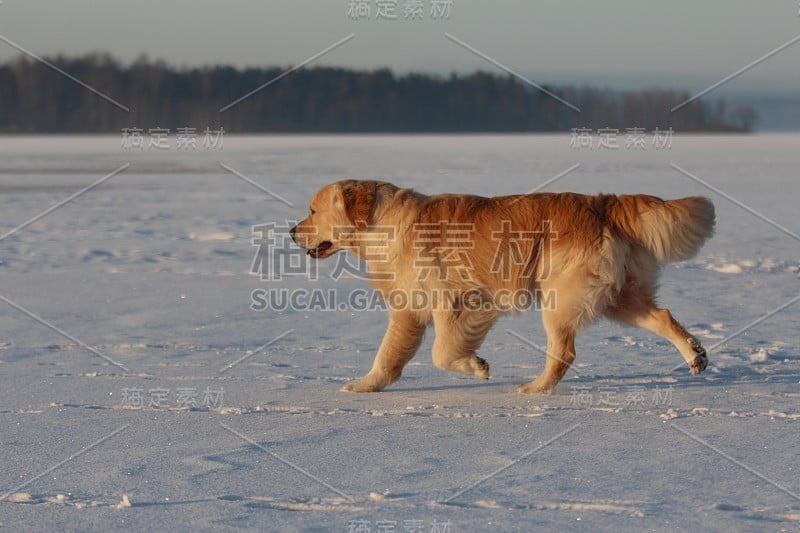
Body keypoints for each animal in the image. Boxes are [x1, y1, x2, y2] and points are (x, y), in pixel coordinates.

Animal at [290, 181, 716, 392]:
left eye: (312, 210)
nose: (292, 231)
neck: (384, 225)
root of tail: (603, 204)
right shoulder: (408, 309)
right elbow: (387, 356)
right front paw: (366, 386)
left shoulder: (461, 301)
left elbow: (442, 352)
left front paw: (476, 367)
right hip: (619, 298)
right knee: (663, 316)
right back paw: (695, 356)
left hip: (560, 299)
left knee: (564, 352)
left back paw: (535, 388)